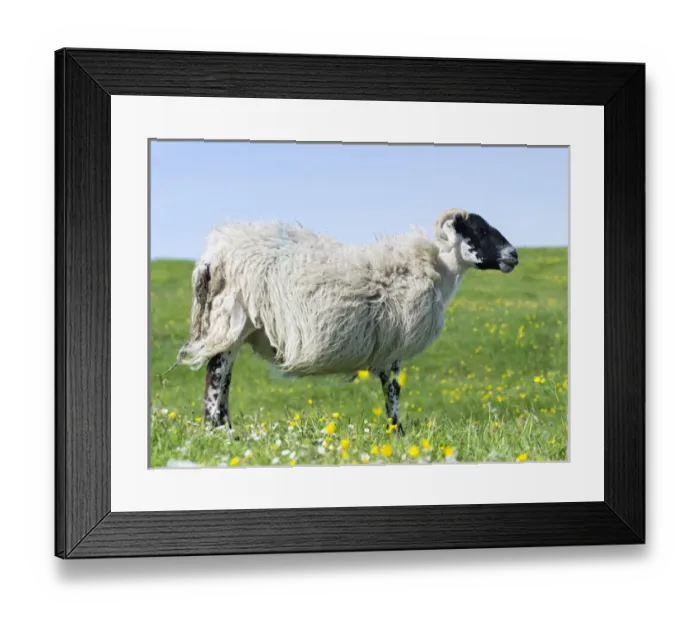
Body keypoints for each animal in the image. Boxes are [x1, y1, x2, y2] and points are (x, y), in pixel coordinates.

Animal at [176, 208, 519, 435]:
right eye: (480, 231)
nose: (514, 255)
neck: (439, 269)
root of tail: (212, 254)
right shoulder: (393, 349)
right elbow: (393, 392)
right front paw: (398, 433)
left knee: (223, 377)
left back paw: (226, 430)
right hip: (231, 317)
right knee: (216, 376)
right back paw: (218, 431)